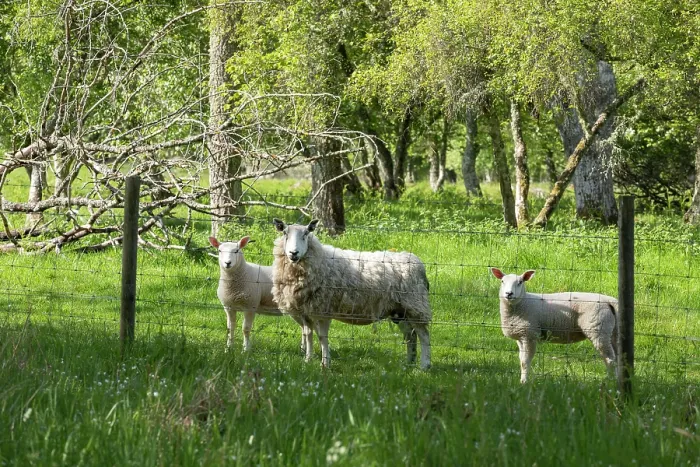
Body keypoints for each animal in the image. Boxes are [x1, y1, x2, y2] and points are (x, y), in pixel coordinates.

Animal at [271, 218, 432, 370]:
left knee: (423, 335)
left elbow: (322, 337)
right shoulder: (304, 310)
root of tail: (418, 264)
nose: (293, 253)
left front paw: (325, 364)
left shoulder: (323, 309)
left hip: (415, 305)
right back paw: (409, 363)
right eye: (285, 233)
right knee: (411, 335)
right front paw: (308, 360)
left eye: (306, 234)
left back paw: (424, 366)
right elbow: (308, 334)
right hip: (399, 310)